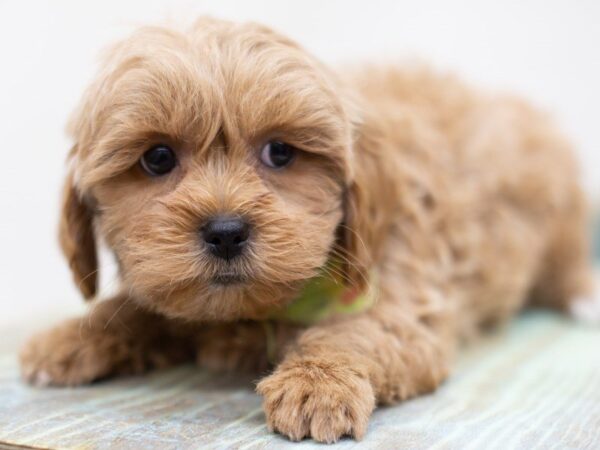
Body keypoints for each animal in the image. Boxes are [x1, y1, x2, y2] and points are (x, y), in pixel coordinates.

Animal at [21, 16, 592, 442]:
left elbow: (358, 330)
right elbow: (140, 309)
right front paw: (74, 335)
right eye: (157, 158)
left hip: (558, 219)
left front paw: (318, 383)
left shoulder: (399, 291)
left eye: (280, 152)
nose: (225, 231)